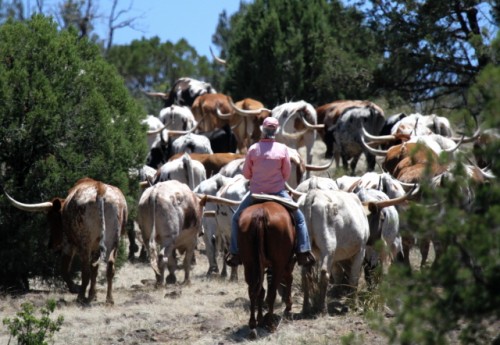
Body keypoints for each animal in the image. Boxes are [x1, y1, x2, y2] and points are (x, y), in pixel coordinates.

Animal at [239, 200, 296, 338]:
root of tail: (261, 213)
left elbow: (261, 291)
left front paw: (260, 319)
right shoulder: (286, 263)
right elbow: (288, 279)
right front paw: (288, 305)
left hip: (249, 264)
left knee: (254, 291)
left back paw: (253, 325)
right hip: (278, 264)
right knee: (271, 293)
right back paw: (270, 324)